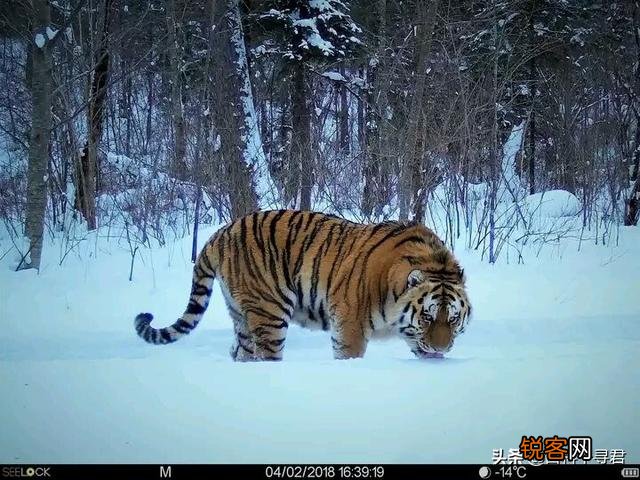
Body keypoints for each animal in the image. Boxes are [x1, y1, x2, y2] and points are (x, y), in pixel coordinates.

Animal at [134, 210, 472, 361]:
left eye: (453, 318)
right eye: (427, 316)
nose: (442, 347)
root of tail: (221, 232)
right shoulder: (350, 325)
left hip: (241, 316)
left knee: (241, 352)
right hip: (269, 314)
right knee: (265, 356)